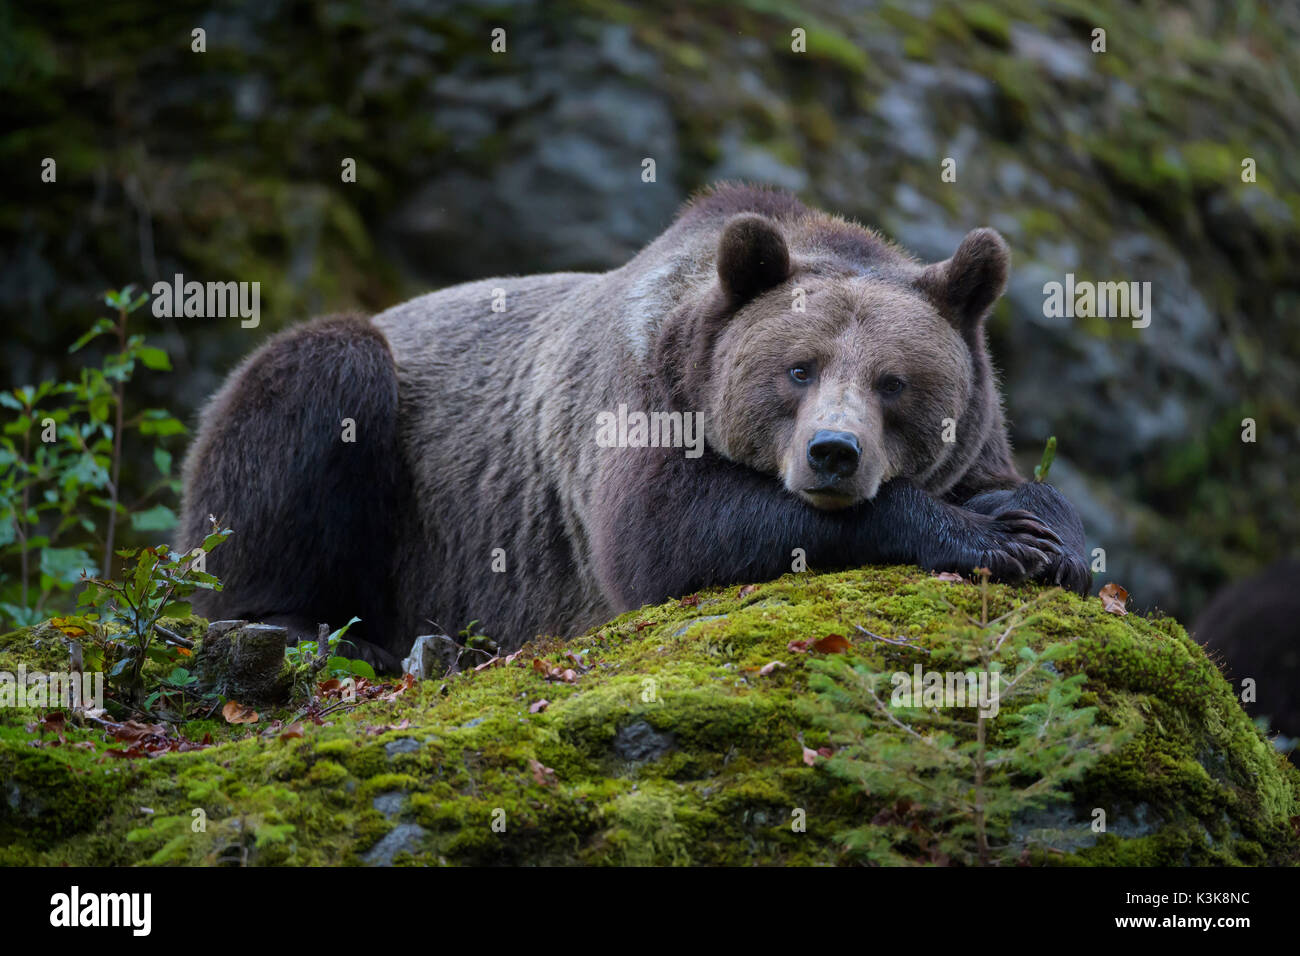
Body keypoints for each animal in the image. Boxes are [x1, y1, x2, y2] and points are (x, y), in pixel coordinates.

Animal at [177, 183, 1089, 670]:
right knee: (317, 390)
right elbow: (663, 531)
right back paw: (309, 625)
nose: (834, 454)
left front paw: (1049, 537)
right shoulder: (638, 397)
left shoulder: (980, 434)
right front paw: (991, 540)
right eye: (798, 369)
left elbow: (1015, 483)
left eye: (893, 383)